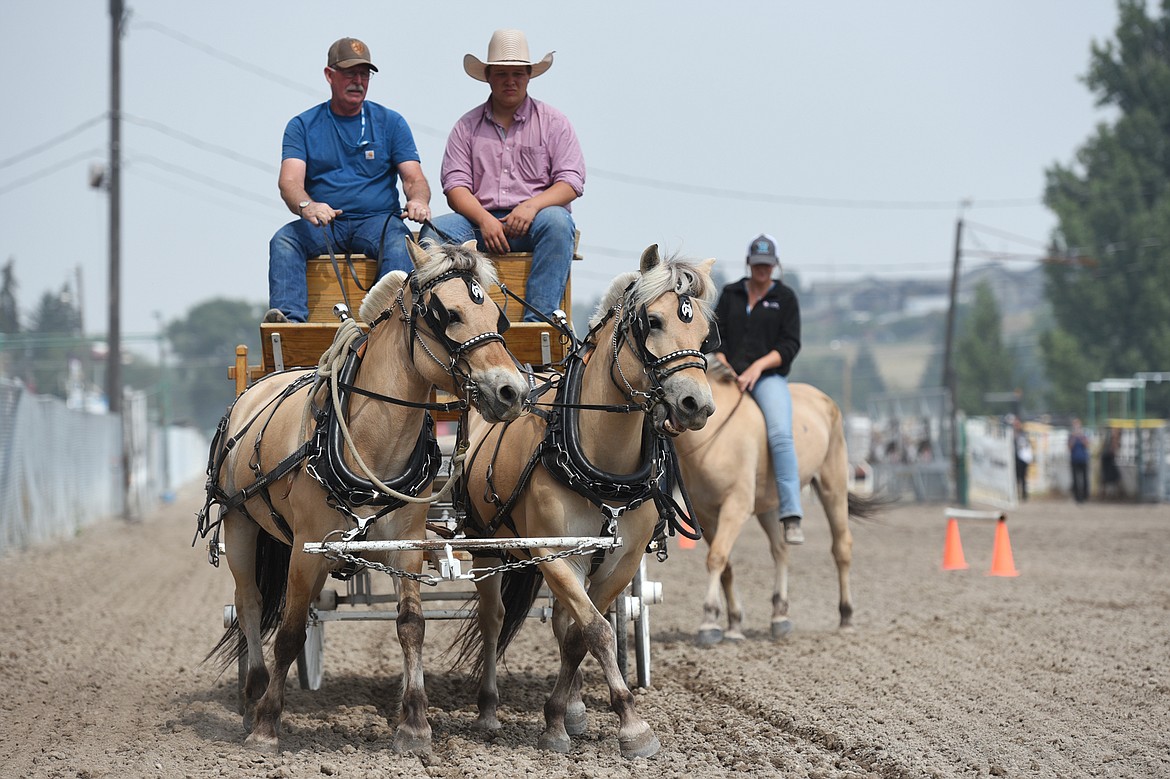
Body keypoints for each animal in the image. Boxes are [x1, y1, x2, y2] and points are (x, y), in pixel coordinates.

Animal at [195, 238, 531, 753]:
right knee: (250, 604)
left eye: (497, 315)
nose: (511, 391)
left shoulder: (405, 541)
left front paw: (414, 725)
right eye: (447, 313)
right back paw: (253, 697)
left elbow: (411, 624)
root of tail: (258, 384)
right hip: (241, 526)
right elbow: (289, 631)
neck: (370, 443)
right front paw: (268, 727)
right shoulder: (307, 546)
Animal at [678, 364, 884, 640]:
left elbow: (717, 558)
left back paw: (846, 616)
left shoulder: (736, 507)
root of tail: (824, 400)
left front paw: (709, 620)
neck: (714, 436)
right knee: (780, 551)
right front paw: (733, 623)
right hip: (769, 506)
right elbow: (726, 564)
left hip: (833, 489)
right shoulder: (705, 514)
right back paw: (779, 615)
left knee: (841, 548)